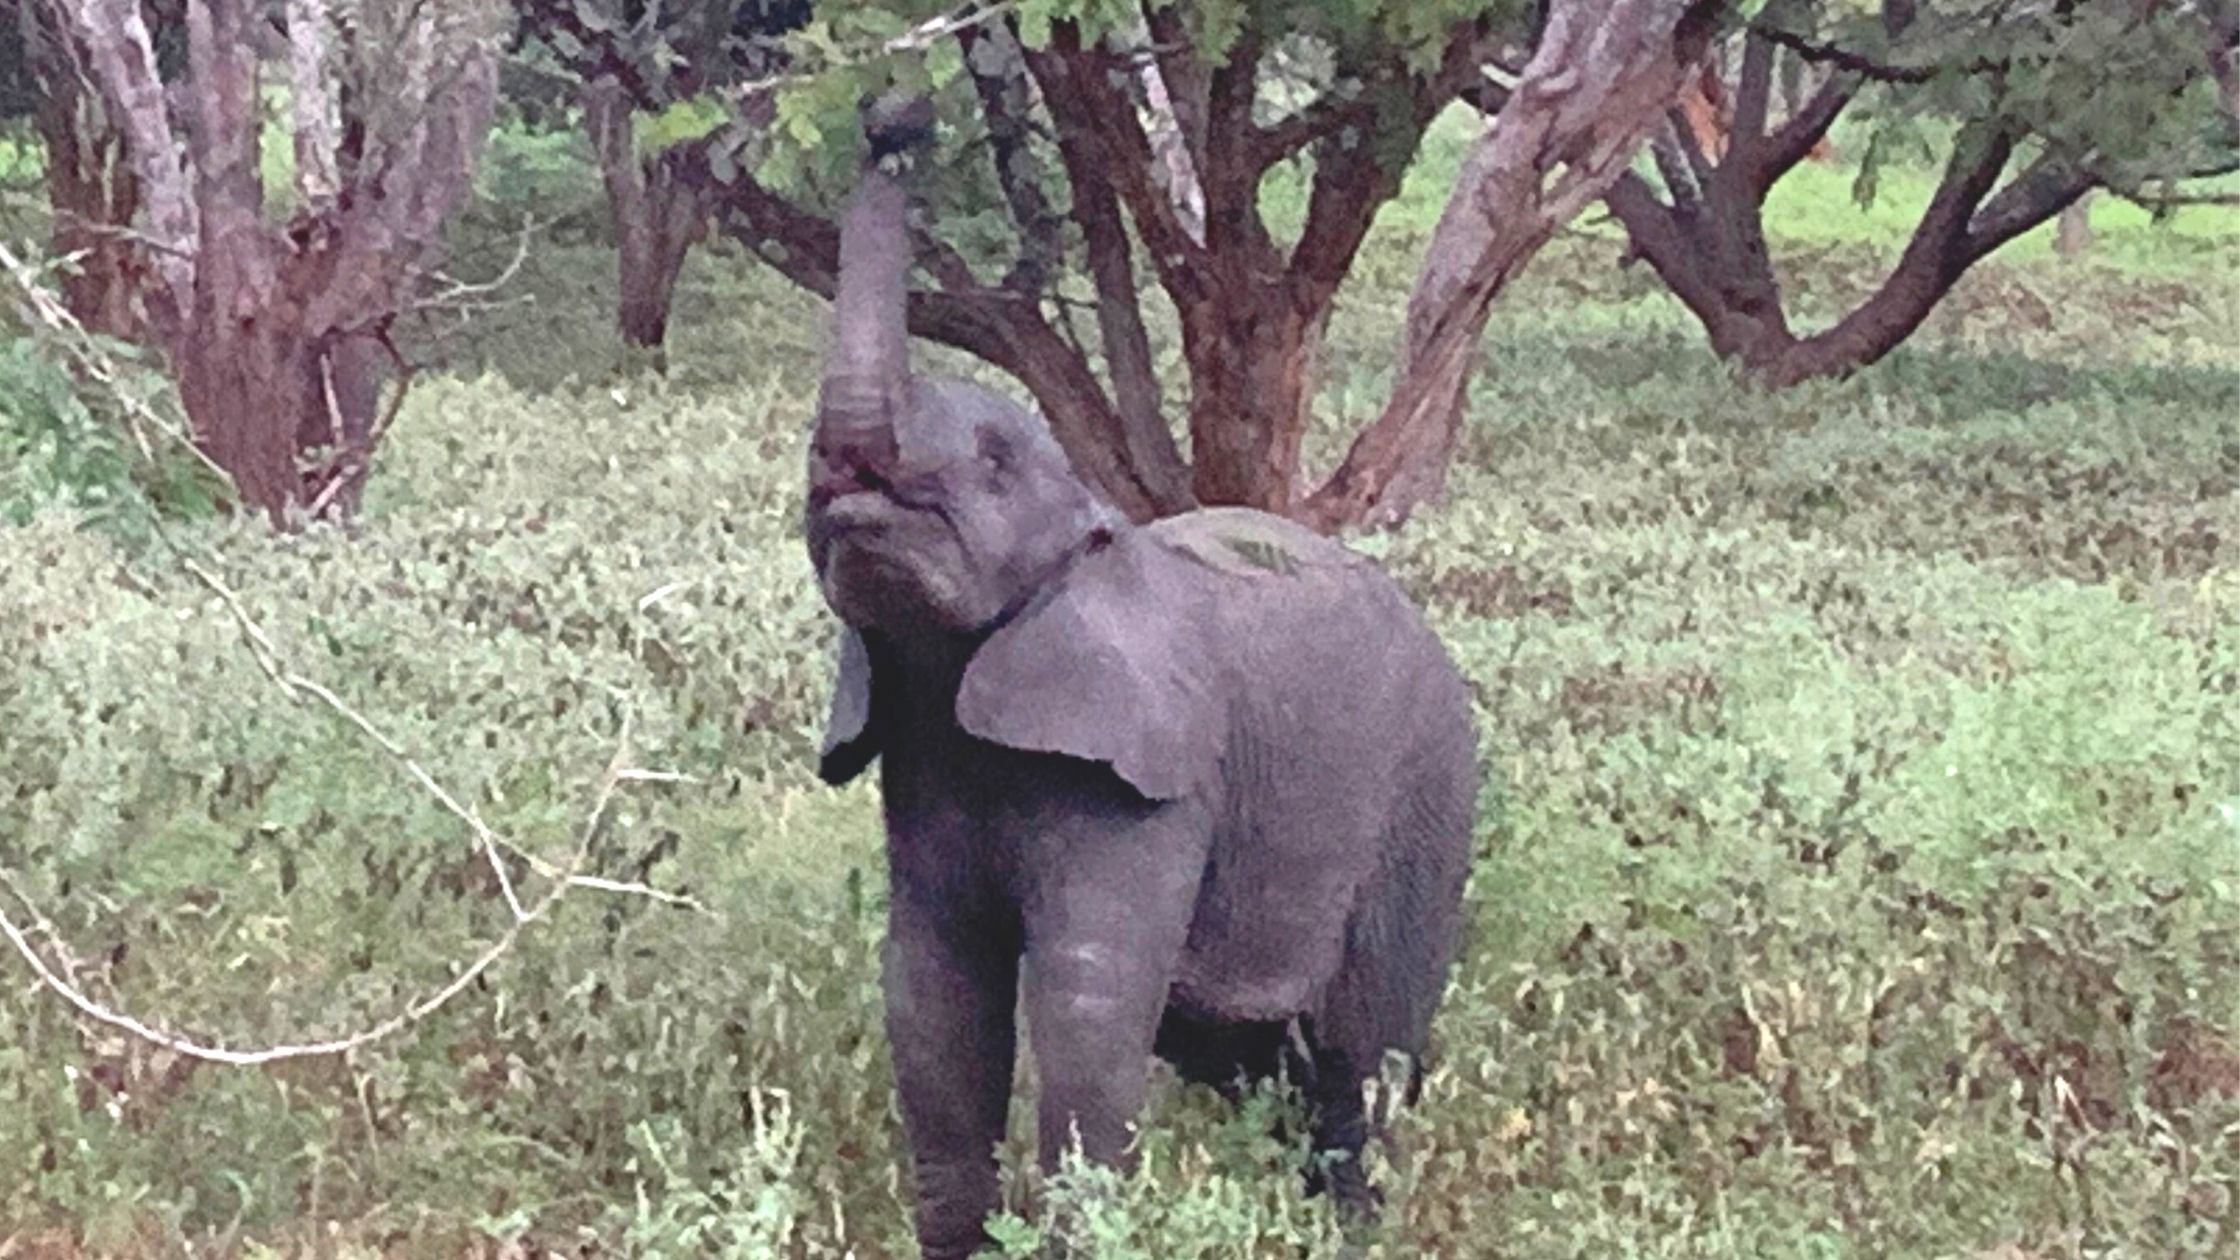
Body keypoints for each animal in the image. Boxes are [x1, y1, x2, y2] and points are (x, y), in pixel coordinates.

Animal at [815, 107, 1478, 1255]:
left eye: (994, 463)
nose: (893, 121)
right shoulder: (918, 752)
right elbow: (933, 994)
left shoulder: (1147, 778)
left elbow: (1088, 1001)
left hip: (1427, 798)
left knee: (1365, 1051)